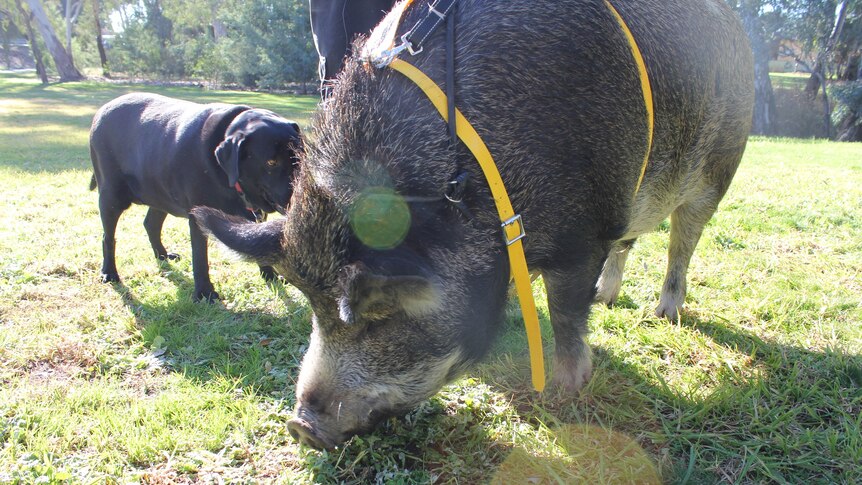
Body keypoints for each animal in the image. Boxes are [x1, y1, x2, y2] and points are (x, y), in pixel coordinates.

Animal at [89, 92, 302, 300]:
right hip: (111, 196)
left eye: (300, 157)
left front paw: (270, 275)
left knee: (150, 224)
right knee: (108, 237)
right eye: (271, 162)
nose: (300, 198)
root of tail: (102, 110)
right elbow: (200, 257)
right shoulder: (198, 216)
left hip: (159, 192)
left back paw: (162, 255)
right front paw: (204, 292)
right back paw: (109, 272)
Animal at [191, 0, 756, 448]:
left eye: (380, 315)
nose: (300, 427)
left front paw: (563, 393)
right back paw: (609, 298)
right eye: (311, 305)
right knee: (631, 242)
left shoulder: (584, 231)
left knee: (682, 240)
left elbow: (565, 311)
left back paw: (664, 312)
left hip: (718, 168)